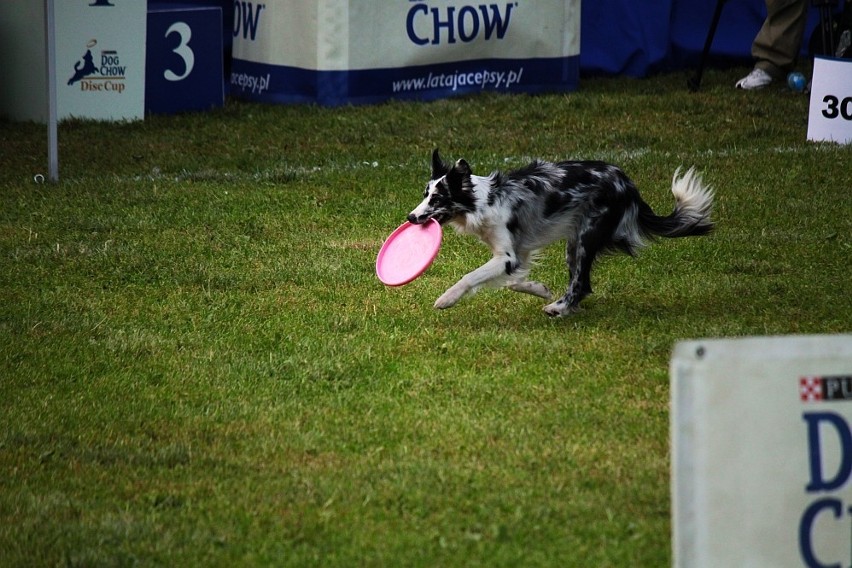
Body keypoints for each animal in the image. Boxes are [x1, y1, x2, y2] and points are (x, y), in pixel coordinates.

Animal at [410, 149, 716, 318]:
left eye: (437, 199)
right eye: (425, 194)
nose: (410, 218)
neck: (486, 200)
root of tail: (627, 184)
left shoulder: (506, 256)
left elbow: (471, 276)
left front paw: (446, 299)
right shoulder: (518, 253)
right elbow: (512, 282)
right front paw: (539, 289)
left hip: (583, 239)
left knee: (581, 283)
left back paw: (559, 309)